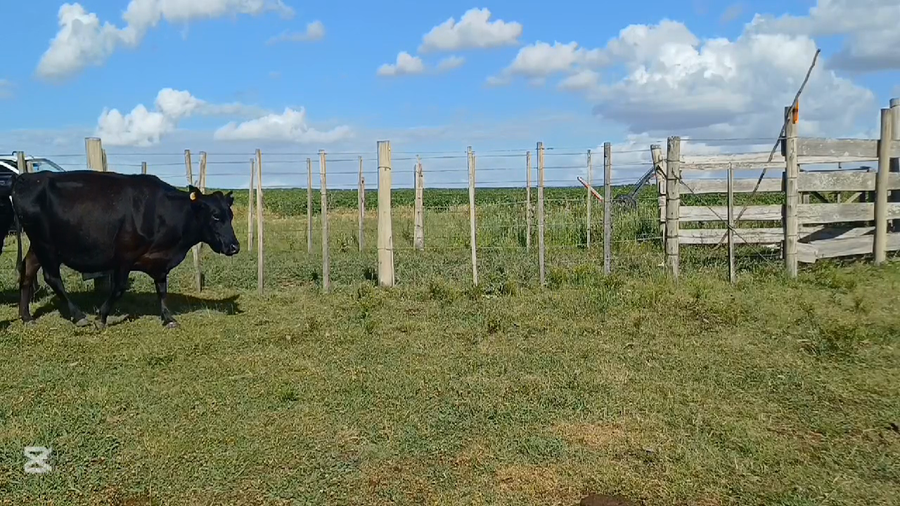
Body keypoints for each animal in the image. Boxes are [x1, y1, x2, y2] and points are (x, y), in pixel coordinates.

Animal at [10, 170, 240, 329]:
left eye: (230, 215)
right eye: (215, 216)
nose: (234, 246)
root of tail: (26, 178)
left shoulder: (159, 262)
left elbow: (162, 289)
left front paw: (168, 318)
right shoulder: (124, 256)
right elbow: (119, 288)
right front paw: (101, 317)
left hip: (37, 245)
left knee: (27, 271)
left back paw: (26, 317)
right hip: (47, 245)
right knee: (52, 278)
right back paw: (79, 316)